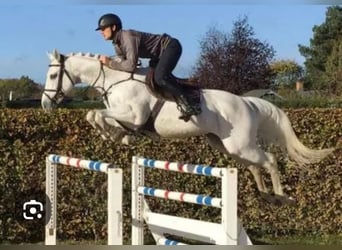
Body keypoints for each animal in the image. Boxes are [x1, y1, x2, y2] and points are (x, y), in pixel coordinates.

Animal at [40, 49, 334, 205]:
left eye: (53, 75)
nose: (44, 104)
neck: (115, 79)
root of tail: (247, 102)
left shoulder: (134, 114)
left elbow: (94, 114)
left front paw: (114, 135)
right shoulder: (125, 116)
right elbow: (97, 116)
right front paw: (119, 137)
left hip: (240, 145)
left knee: (270, 159)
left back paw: (281, 197)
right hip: (227, 145)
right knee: (253, 165)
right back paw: (265, 195)